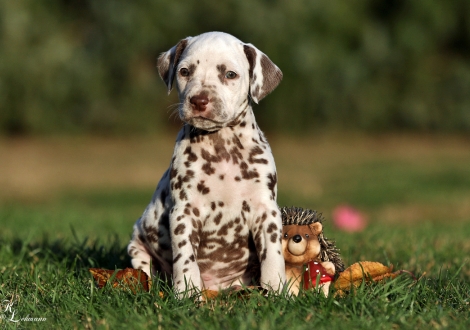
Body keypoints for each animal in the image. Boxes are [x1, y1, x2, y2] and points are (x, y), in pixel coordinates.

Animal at [126, 31, 284, 294]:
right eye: (185, 71)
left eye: (230, 74)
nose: (199, 100)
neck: (222, 145)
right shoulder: (184, 212)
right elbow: (185, 259)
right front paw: (186, 294)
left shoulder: (266, 211)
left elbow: (272, 255)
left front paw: (278, 290)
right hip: (137, 245)